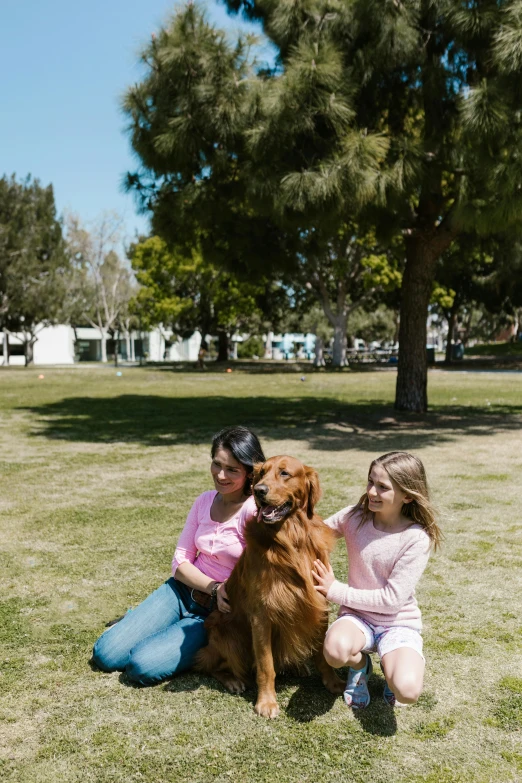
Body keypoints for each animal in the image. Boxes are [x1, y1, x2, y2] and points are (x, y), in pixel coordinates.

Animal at [193, 456, 344, 720]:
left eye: (284, 473)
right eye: (260, 474)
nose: (258, 490)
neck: (291, 538)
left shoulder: (318, 602)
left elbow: (322, 654)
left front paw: (333, 682)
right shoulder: (261, 615)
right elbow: (266, 665)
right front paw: (266, 702)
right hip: (228, 635)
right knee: (210, 664)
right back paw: (232, 680)